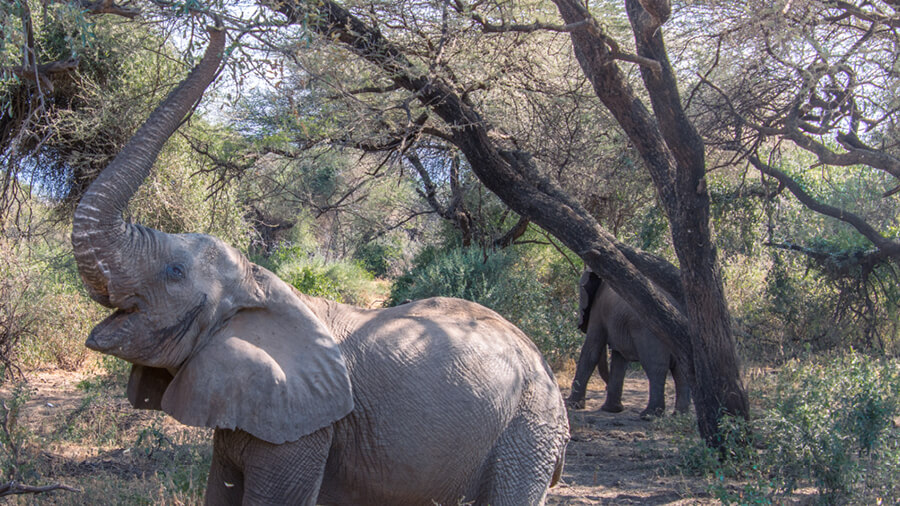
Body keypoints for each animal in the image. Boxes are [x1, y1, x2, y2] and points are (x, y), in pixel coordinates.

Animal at [70, 27, 568, 505]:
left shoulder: (306, 426)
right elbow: (219, 491)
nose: (216, 26)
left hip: (527, 433)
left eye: (174, 272)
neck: (260, 282)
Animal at [566, 269, 690, 419]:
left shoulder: (598, 310)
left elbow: (591, 351)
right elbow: (619, 360)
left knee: (655, 368)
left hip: (651, 335)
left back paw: (648, 416)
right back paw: (680, 416)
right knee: (681, 372)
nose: (605, 387)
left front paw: (571, 405)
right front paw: (612, 410)